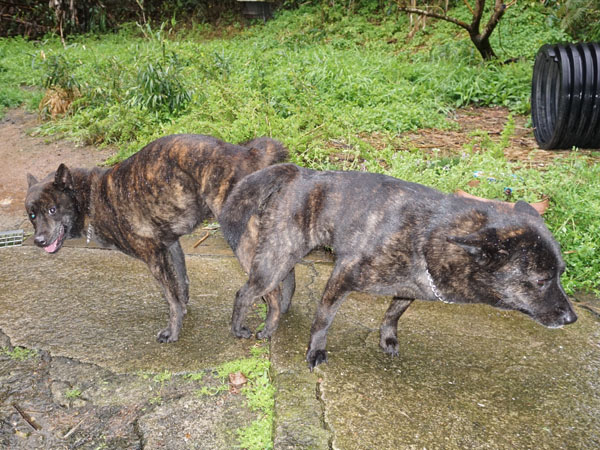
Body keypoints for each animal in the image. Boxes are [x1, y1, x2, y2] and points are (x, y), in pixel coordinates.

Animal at [25, 134, 287, 343]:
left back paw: (263, 328)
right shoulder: (170, 246)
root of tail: (246, 153)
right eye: (32, 214)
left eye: (52, 210)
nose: (38, 240)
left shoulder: (154, 257)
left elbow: (170, 297)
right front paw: (183, 312)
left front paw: (173, 332)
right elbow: (181, 286)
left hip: (239, 237)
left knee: (271, 286)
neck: (90, 197)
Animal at [218, 163, 577, 370]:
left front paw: (388, 338)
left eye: (561, 274)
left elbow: (393, 314)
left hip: (285, 254)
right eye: (541, 280)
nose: (572, 318)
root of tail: (299, 172)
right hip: (275, 260)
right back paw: (243, 326)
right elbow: (324, 318)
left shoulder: (408, 291)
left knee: (285, 282)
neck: (429, 235)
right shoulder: (342, 278)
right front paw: (315, 350)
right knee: (244, 292)